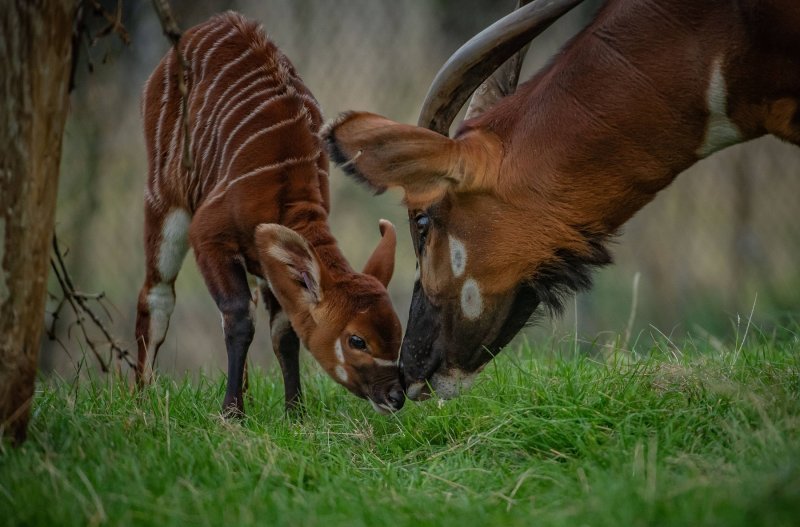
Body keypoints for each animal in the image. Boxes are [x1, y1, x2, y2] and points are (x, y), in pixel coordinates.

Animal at [137, 12, 406, 414]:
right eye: (357, 340)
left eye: (398, 332)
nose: (396, 396)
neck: (287, 188)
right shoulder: (209, 235)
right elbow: (239, 319)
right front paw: (232, 412)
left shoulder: (269, 263)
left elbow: (284, 332)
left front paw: (295, 412)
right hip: (164, 199)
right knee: (156, 294)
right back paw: (139, 398)